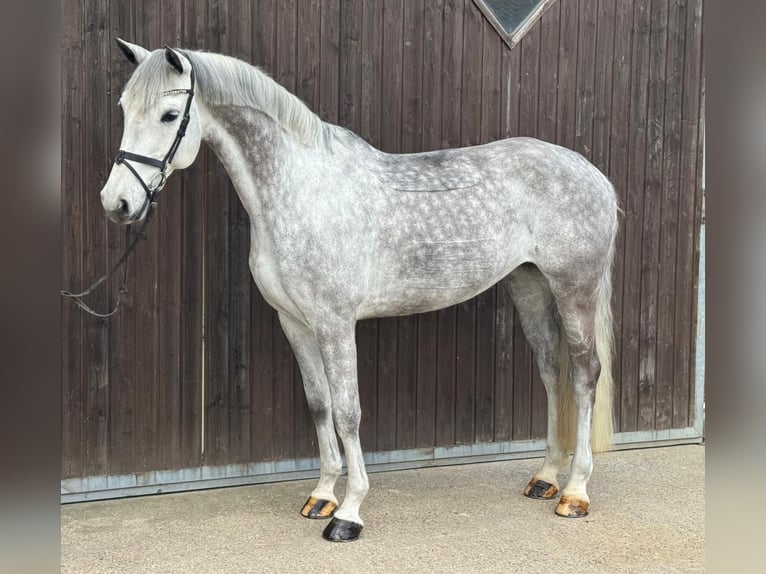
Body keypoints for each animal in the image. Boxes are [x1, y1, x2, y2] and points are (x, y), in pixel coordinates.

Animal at [100, 40, 618, 542]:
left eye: (169, 116)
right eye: (123, 108)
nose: (116, 203)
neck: (304, 191)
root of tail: (592, 173)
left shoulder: (335, 322)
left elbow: (348, 411)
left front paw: (349, 513)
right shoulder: (295, 322)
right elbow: (319, 404)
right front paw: (322, 495)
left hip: (574, 288)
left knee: (583, 375)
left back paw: (575, 492)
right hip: (529, 284)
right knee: (551, 371)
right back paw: (545, 477)